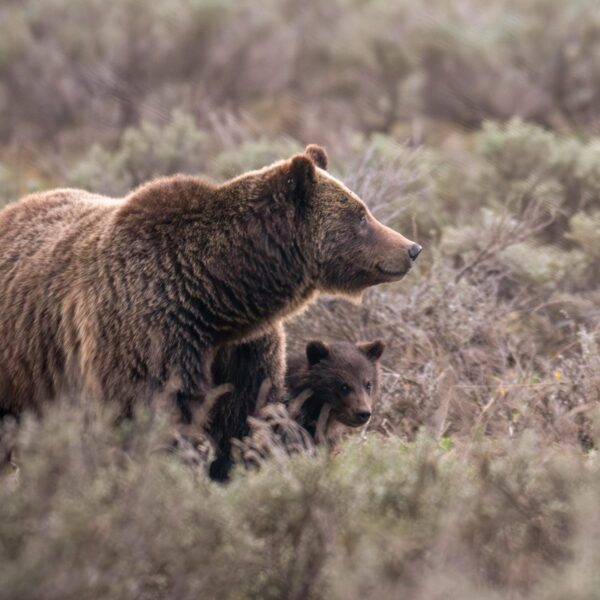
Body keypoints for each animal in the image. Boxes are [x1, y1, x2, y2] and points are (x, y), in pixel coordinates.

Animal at [0, 143, 422, 480]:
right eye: (360, 215)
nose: (412, 248)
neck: (215, 296)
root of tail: (14, 206)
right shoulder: (148, 334)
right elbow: (152, 415)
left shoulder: (243, 352)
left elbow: (241, 420)